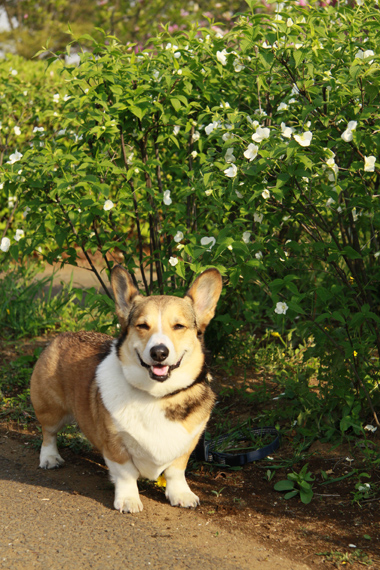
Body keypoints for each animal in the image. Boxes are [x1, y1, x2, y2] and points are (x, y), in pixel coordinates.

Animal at [31, 266, 223, 510]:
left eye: (179, 326)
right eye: (142, 326)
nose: (159, 352)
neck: (155, 395)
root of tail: (64, 334)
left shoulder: (187, 444)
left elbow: (176, 472)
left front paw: (181, 494)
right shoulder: (116, 443)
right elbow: (126, 473)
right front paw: (129, 499)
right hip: (52, 410)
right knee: (49, 434)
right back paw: (49, 458)